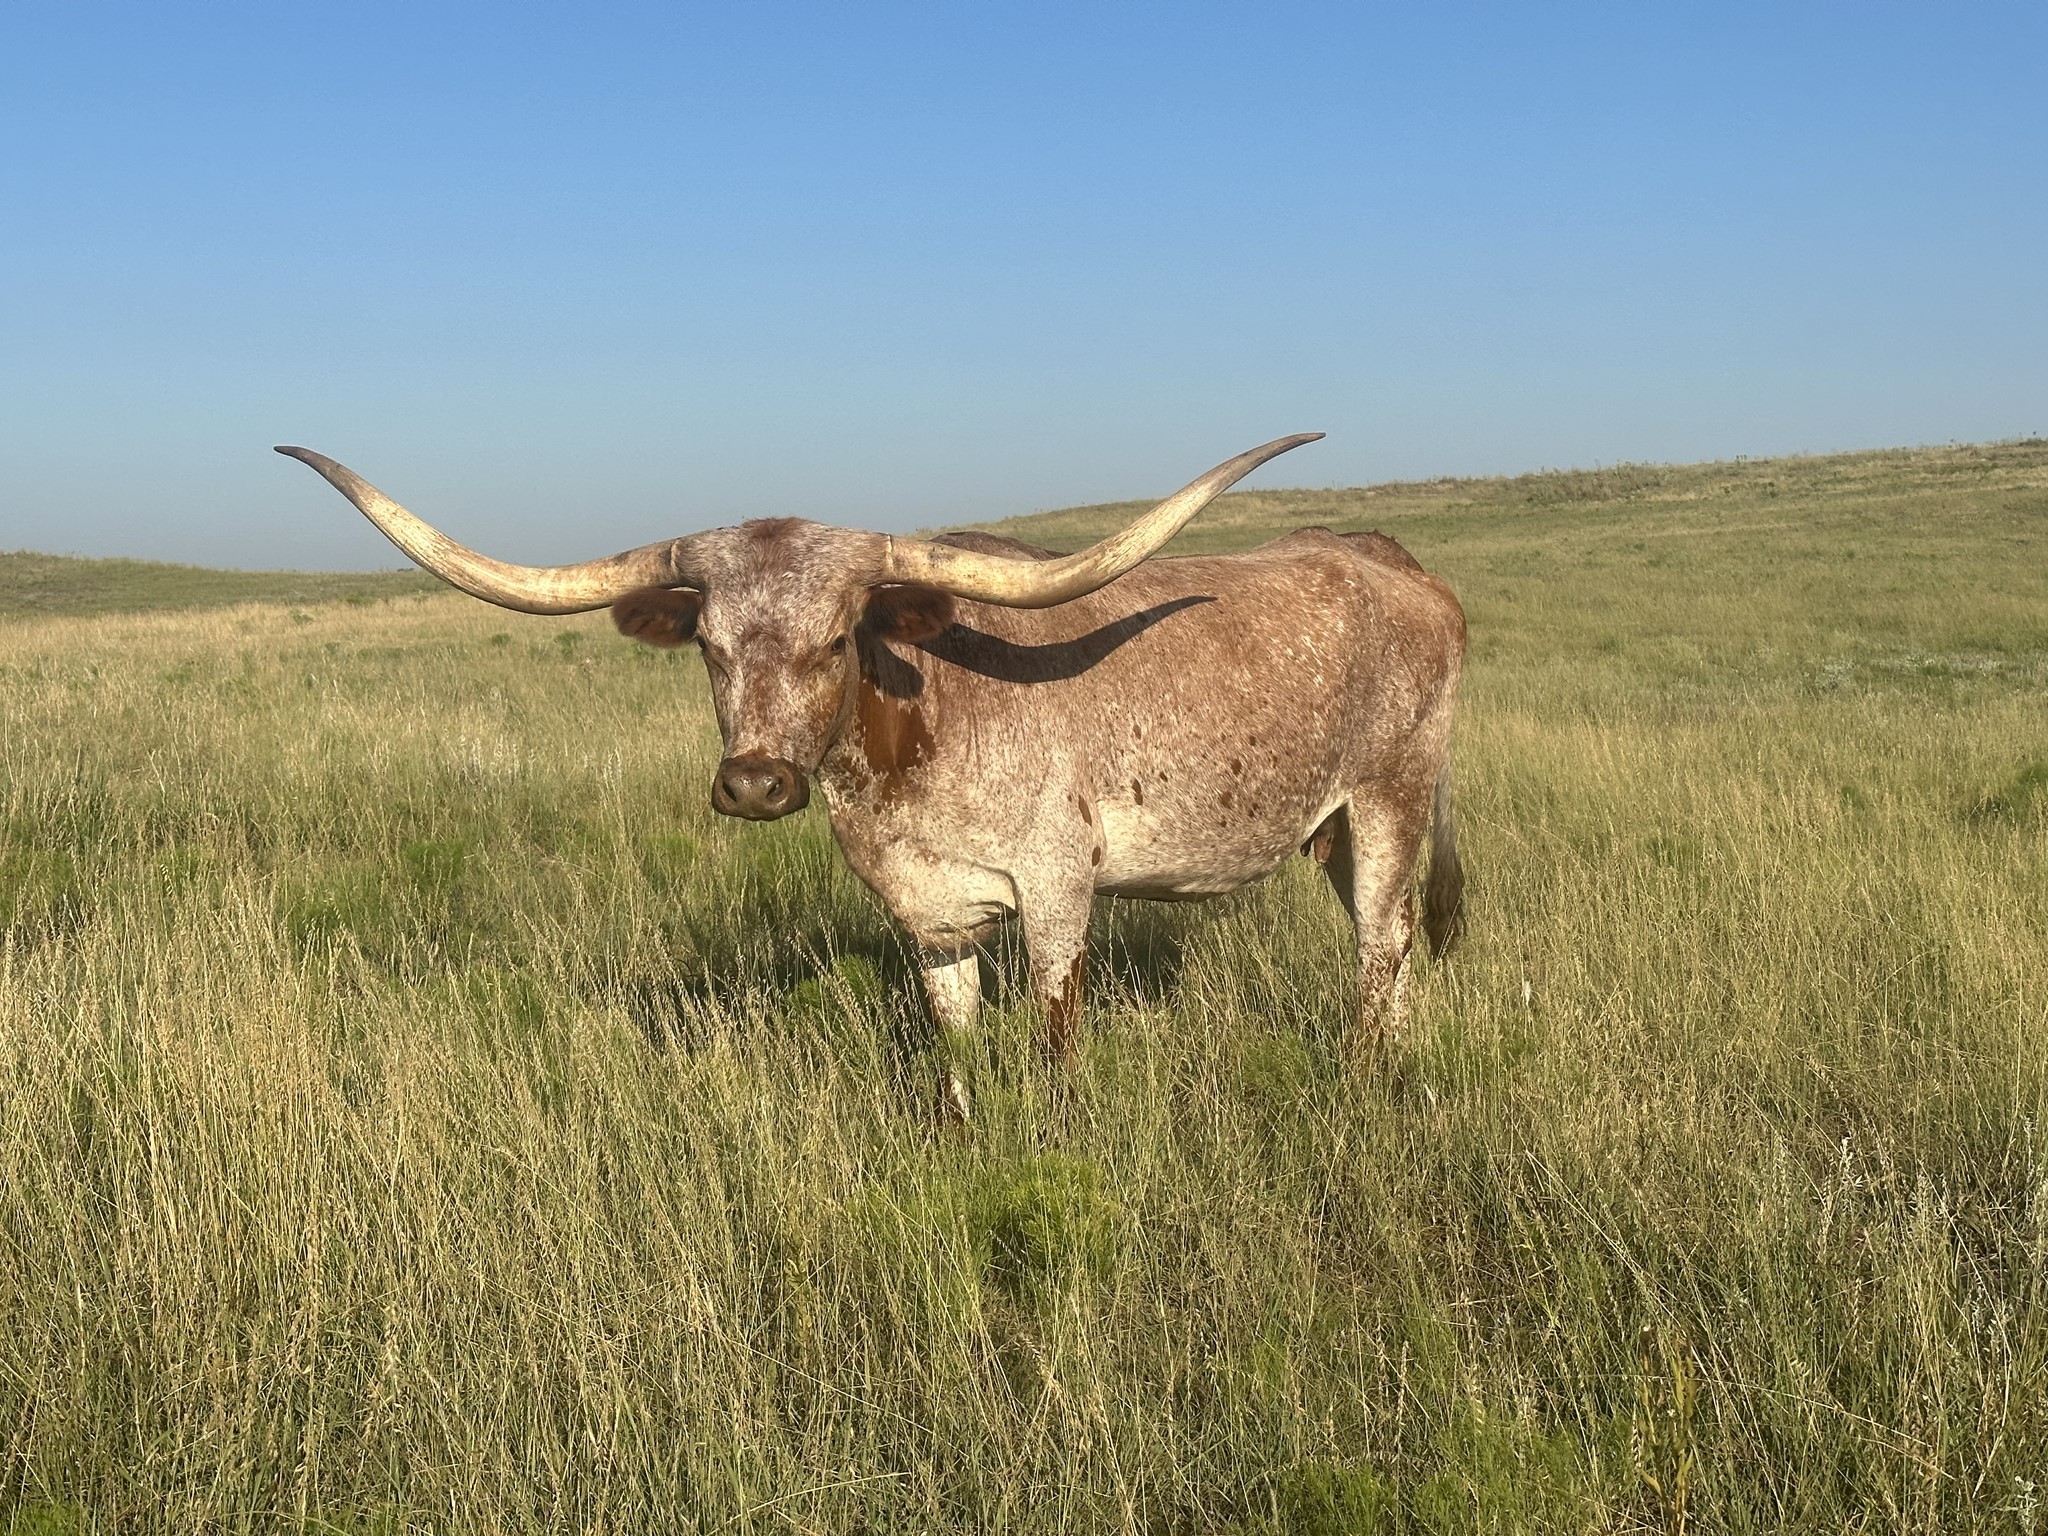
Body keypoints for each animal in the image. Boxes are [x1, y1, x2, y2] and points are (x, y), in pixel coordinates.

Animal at [277, 437, 1466, 1117]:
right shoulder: (922, 911)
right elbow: (952, 1042)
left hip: (1391, 796)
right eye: (710, 646)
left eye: (833, 639)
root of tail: (1387, 555)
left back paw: (1362, 1083)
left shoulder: (1060, 892)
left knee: (1381, 941)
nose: (755, 784)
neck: (918, 733)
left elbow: (1056, 1039)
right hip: (1337, 826)